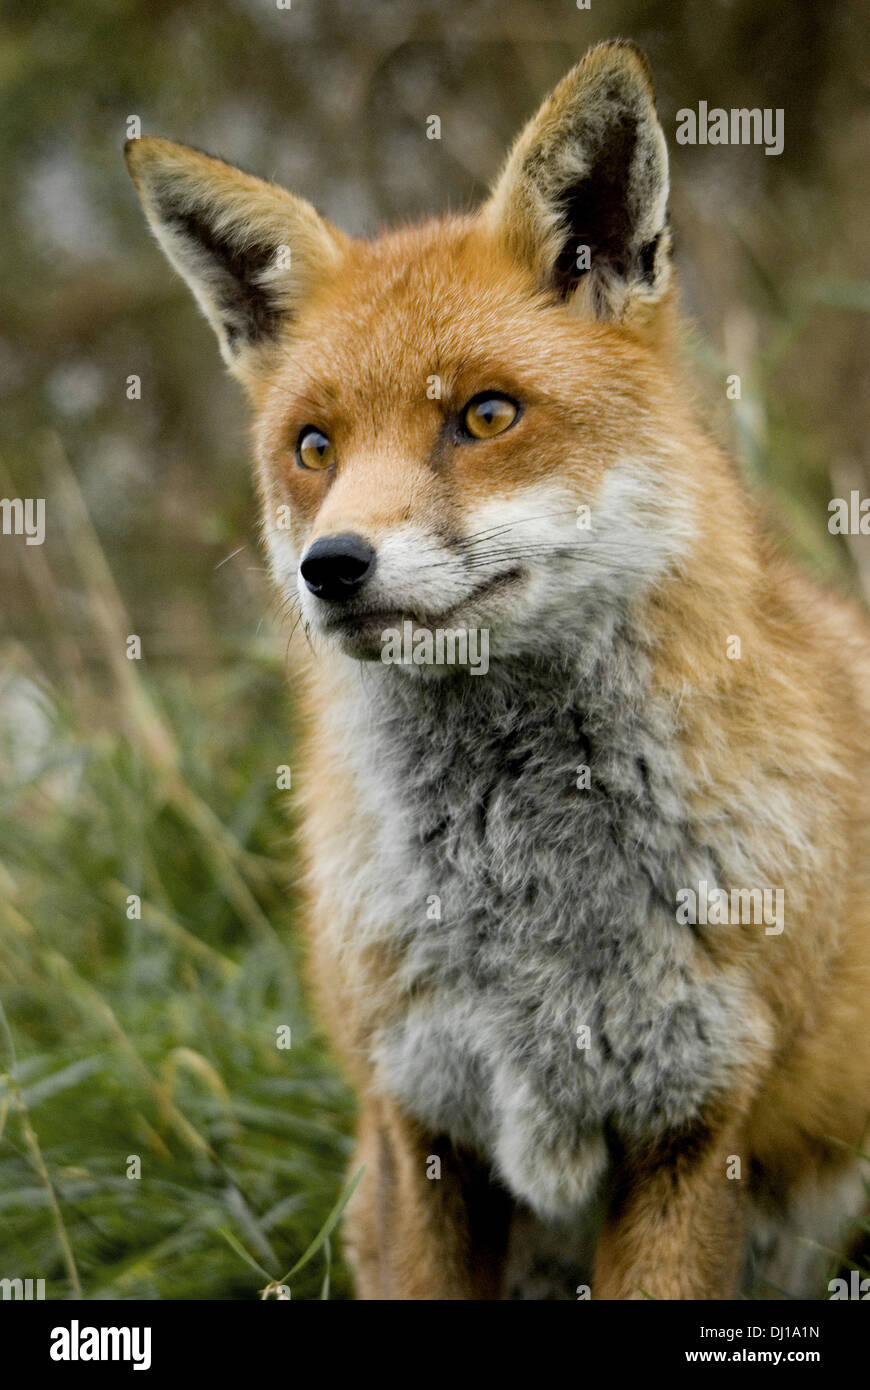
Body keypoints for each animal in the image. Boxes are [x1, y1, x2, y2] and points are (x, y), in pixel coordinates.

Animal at [123, 43, 867, 1301]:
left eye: (484, 416)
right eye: (314, 447)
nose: (333, 566)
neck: (519, 912)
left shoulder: (693, 1127)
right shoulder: (419, 1125)